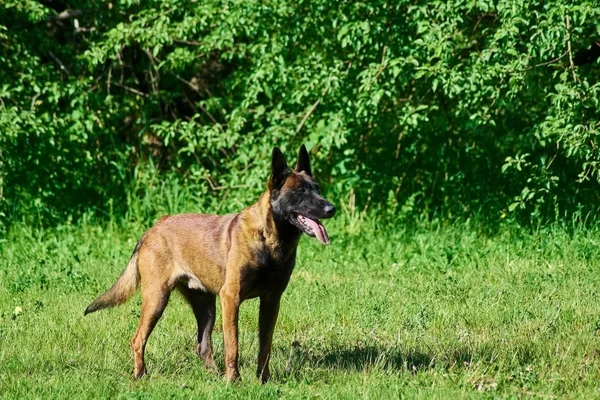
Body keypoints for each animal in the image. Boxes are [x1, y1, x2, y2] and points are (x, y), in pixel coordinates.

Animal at [84, 145, 336, 382]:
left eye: (318, 189)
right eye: (301, 191)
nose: (331, 208)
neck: (269, 240)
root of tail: (153, 228)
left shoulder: (271, 301)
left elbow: (265, 346)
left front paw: (263, 380)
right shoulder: (231, 298)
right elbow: (232, 345)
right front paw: (234, 381)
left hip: (206, 307)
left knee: (202, 346)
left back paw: (214, 375)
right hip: (157, 298)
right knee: (138, 339)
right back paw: (141, 375)